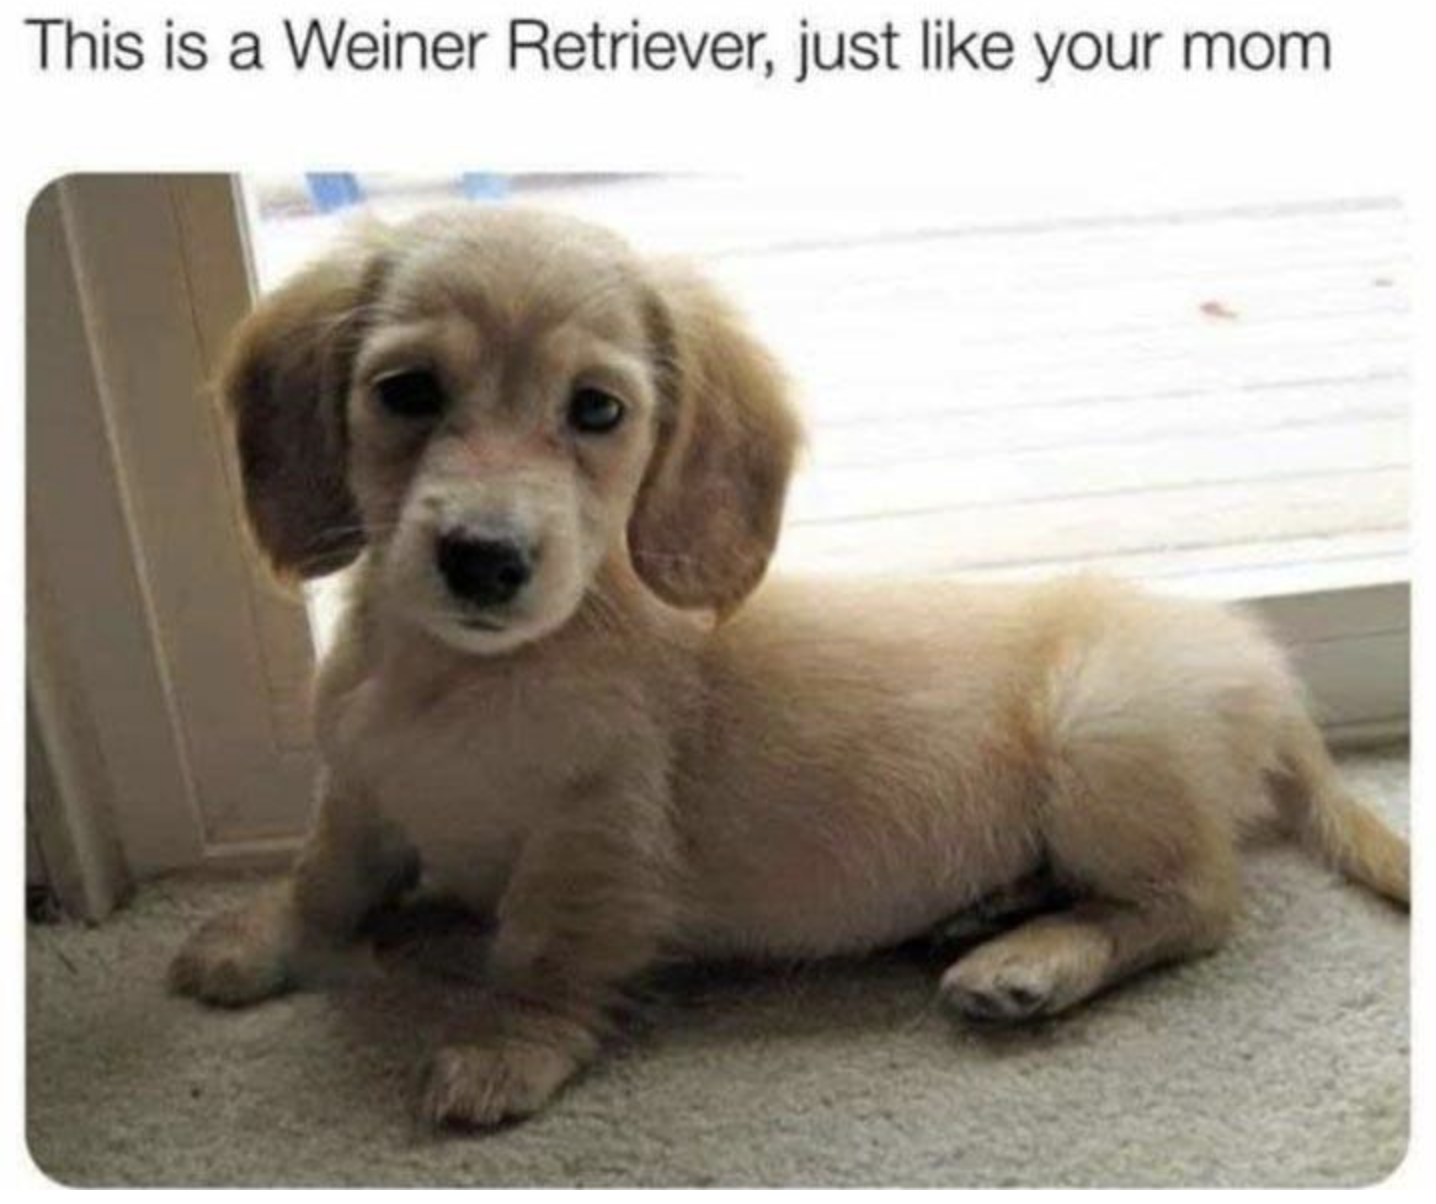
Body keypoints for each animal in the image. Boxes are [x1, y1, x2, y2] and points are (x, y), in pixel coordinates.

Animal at [171, 206, 1409, 1128]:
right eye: (406, 390)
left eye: (595, 409)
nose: (483, 557)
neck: (462, 675)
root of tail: (1265, 672)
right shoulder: (361, 791)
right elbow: (324, 877)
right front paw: (255, 941)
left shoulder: (593, 839)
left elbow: (538, 952)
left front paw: (502, 1048)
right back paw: (991, 905)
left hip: (1102, 742)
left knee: (1194, 904)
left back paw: (1029, 960)